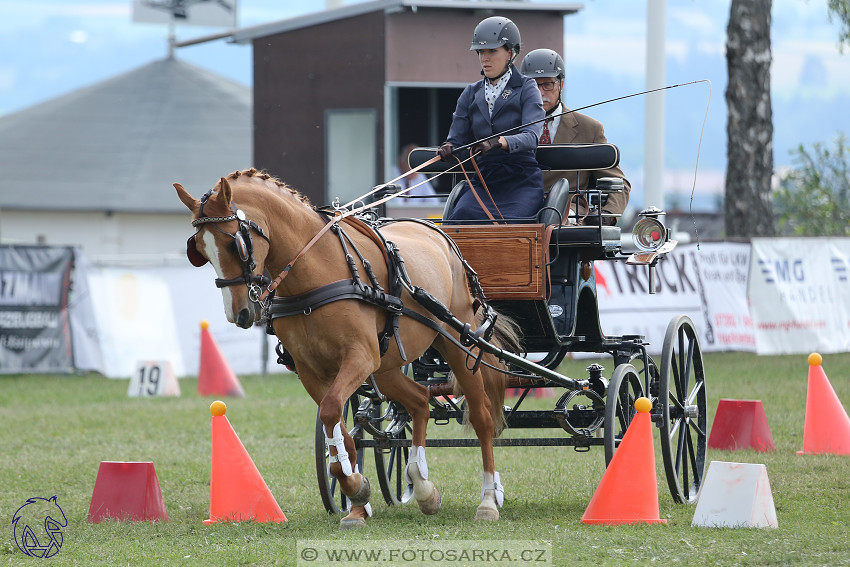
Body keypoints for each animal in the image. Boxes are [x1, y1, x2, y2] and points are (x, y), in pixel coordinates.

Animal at [174, 168, 516, 528]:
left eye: (234, 243)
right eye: (199, 250)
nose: (238, 313)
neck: (315, 272)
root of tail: (436, 232)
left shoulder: (359, 357)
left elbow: (331, 412)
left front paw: (353, 487)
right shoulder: (312, 370)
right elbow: (338, 424)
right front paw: (356, 496)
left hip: (457, 344)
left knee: (481, 416)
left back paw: (488, 499)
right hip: (387, 366)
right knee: (419, 401)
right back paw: (422, 486)